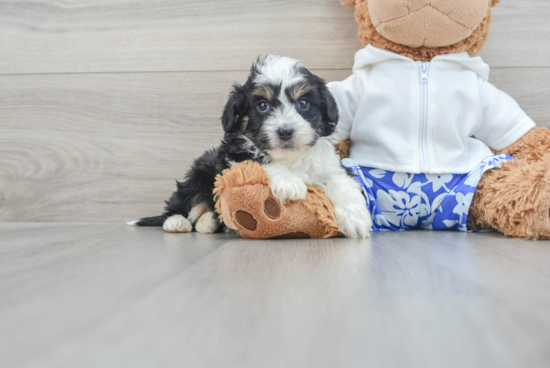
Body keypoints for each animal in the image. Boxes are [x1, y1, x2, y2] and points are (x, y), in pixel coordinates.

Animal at [127, 55, 374, 239]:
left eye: (303, 103)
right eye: (262, 106)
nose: (285, 131)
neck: (289, 158)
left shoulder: (330, 165)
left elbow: (341, 181)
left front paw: (356, 219)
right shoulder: (233, 157)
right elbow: (258, 161)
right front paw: (289, 183)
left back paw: (209, 222)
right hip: (198, 176)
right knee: (182, 205)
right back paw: (177, 222)